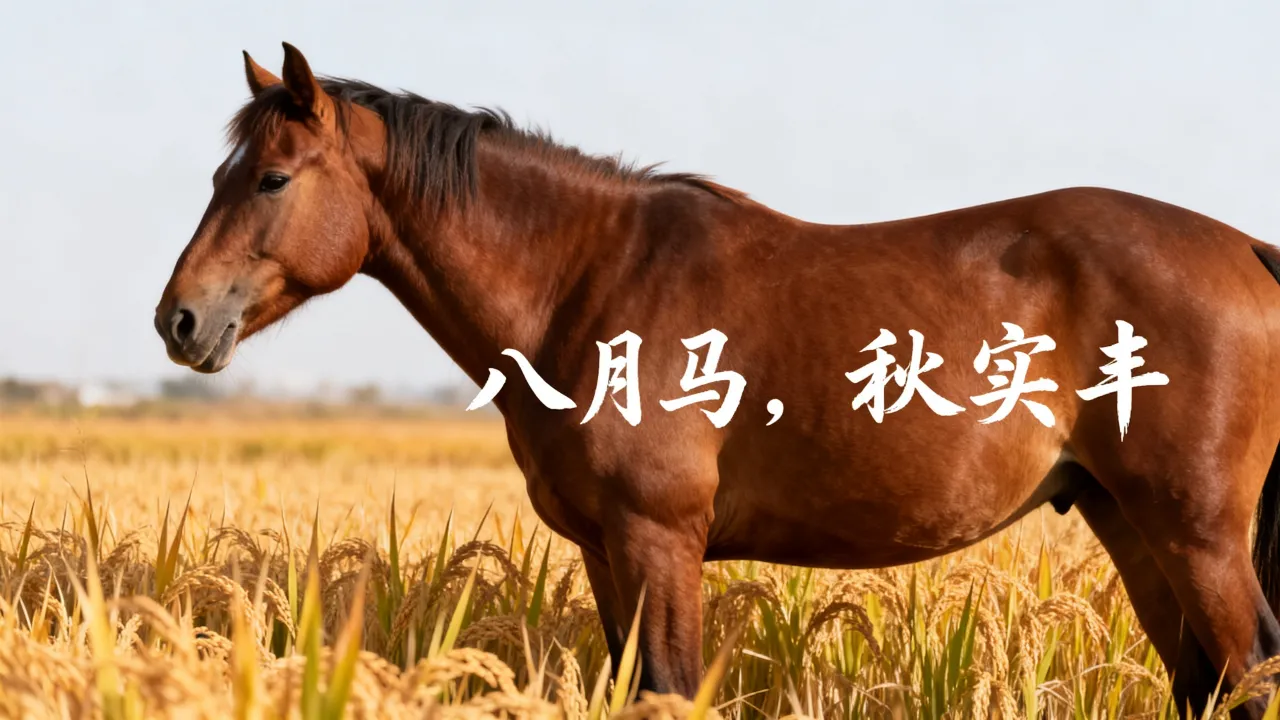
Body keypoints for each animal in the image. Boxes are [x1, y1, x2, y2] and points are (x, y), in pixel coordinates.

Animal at [155, 43, 1280, 717]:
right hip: (1128, 521)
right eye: (217, 175)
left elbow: (670, 687)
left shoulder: (660, 541)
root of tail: (1245, 251)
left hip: (1195, 533)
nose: (181, 320)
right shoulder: (608, 550)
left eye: (271, 178)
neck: (586, 282)